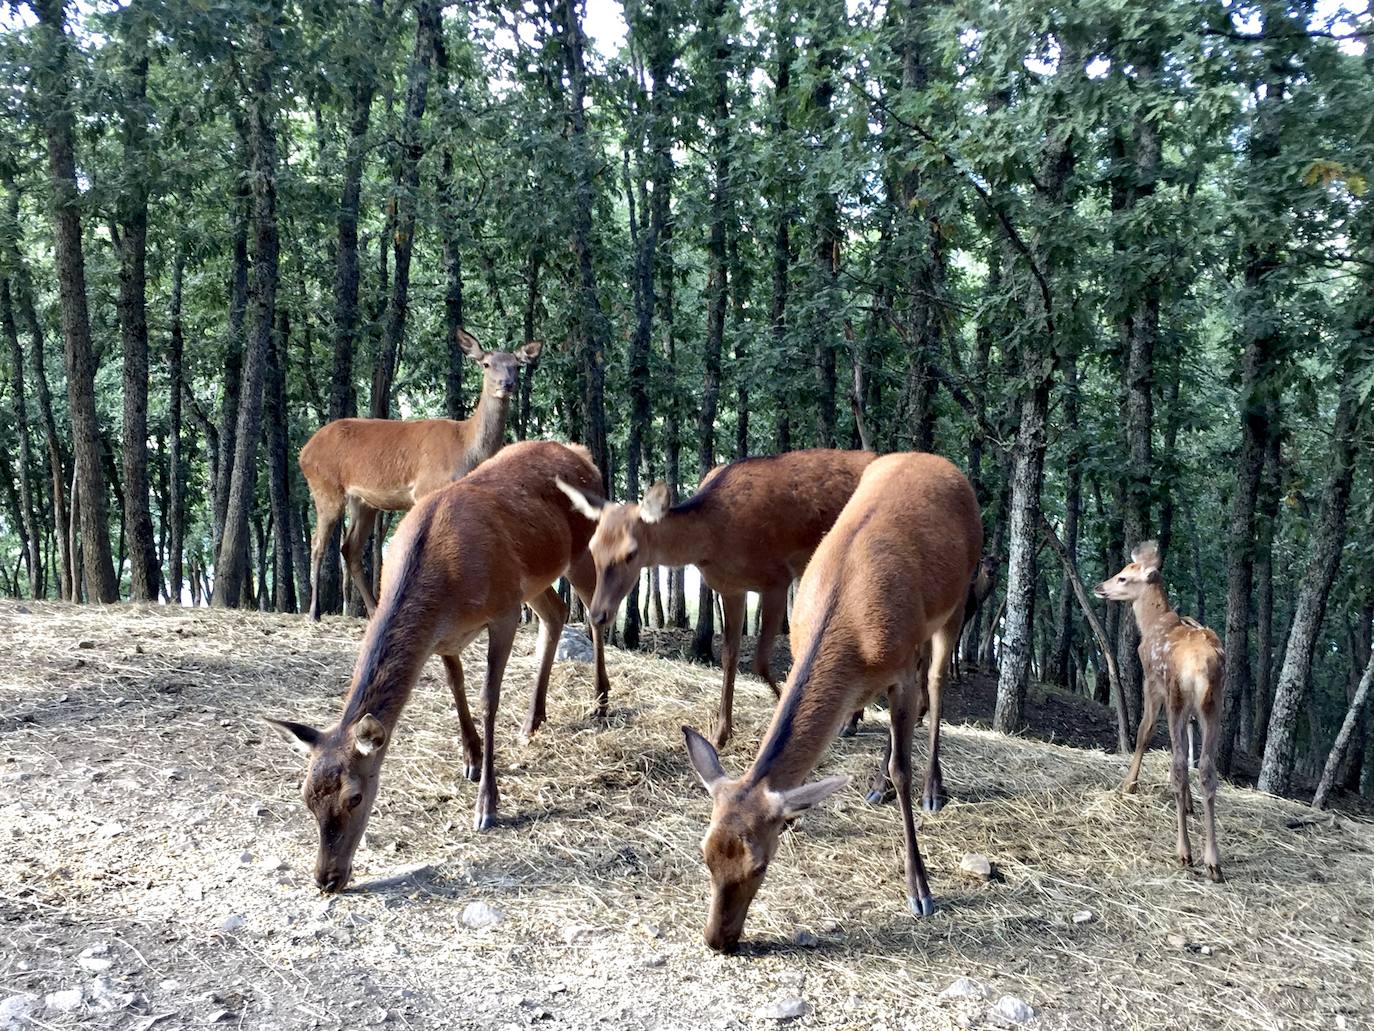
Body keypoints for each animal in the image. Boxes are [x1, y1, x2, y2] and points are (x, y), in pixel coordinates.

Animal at [266, 439, 607, 890]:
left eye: (355, 796)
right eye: (305, 796)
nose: (326, 878)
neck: (446, 590)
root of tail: (581, 454)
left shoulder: (503, 611)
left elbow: (487, 699)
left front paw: (487, 805)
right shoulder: (445, 637)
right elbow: (455, 687)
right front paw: (471, 758)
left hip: (580, 548)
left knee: (595, 610)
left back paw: (601, 701)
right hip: (536, 579)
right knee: (556, 613)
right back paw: (532, 720)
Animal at [300, 331, 541, 621]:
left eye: (516, 365)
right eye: (486, 364)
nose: (507, 384)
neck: (466, 448)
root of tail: (304, 451)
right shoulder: (426, 487)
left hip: (364, 502)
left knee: (350, 548)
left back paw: (372, 609)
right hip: (325, 486)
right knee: (317, 544)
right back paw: (314, 612)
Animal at [555, 448, 868, 747]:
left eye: (630, 553)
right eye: (593, 547)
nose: (598, 614)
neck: (713, 541)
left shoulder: (777, 578)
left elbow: (760, 662)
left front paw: (784, 710)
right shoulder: (731, 588)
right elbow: (729, 657)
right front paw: (721, 734)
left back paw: (852, 721)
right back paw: (851, 721)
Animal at [681, 450, 983, 951]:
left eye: (759, 866)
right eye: (704, 852)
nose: (717, 939)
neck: (850, 632)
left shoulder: (900, 669)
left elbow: (903, 766)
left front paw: (920, 889)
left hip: (960, 597)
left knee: (937, 684)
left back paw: (932, 789)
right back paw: (878, 785)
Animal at [1093, 544, 1225, 885]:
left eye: (1123, 577)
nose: (1100, 586)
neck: (1153, 624)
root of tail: (1202, 667)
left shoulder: (1152, 680)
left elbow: (1145, 730)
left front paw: (1129, 784)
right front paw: (1189, 804)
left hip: (1176, 693)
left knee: (1178, 762)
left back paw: (1185, 852)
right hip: (1213, 703)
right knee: (1207, 767)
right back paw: (1213, 862)